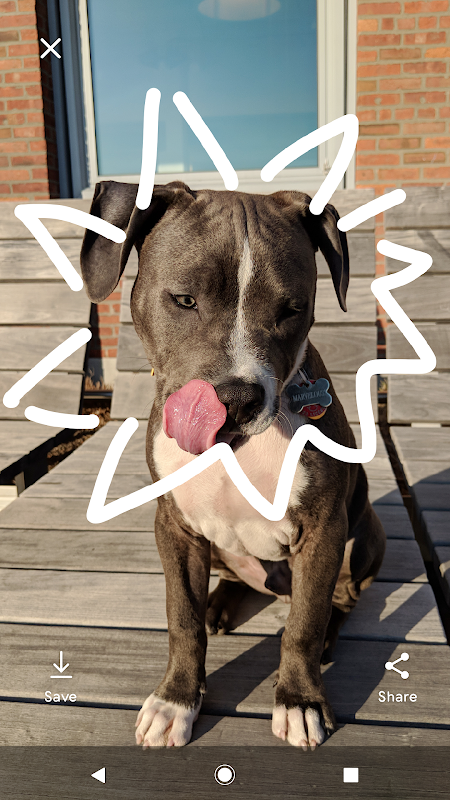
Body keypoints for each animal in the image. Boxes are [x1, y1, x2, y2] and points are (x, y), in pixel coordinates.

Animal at [81, 180, 386, 749]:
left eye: (292, 309)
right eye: (184, 299)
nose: (237, 400)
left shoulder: (323, 528)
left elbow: (304, 623)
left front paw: (300, 700)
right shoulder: (174, 527)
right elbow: (181, 617)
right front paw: (176, 700)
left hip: (361, 537)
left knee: (337, 600)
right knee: (236, 577)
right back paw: (220, 604)